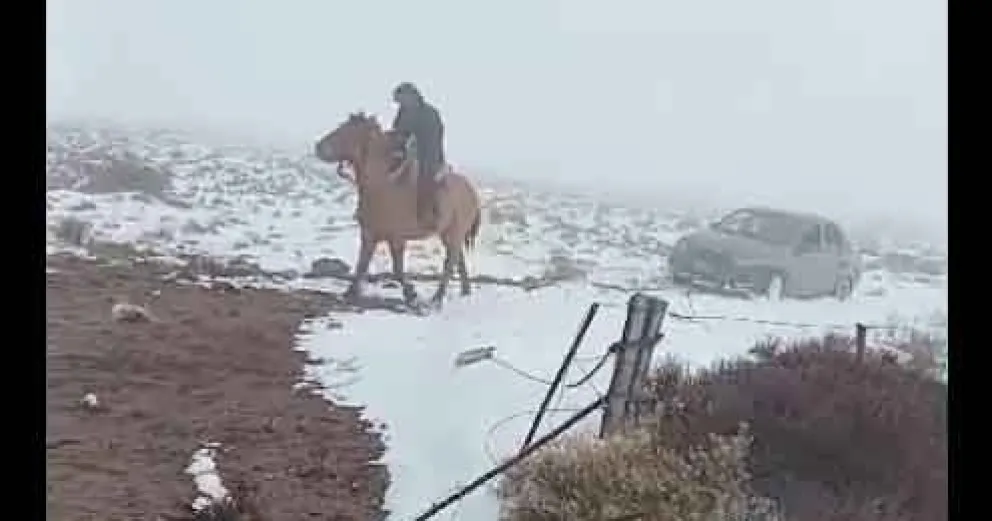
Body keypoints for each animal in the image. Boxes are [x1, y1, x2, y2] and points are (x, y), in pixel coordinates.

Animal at [314, 112, 482, 308]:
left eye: (347, 131)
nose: (318, 147)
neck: (382, 186)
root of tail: (472, 192)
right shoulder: (369, 235)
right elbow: (362, 264)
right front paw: (349, 293)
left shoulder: (396, 238)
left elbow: (397, 269)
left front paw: (411, 295)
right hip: (450, 234)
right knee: (458, 259)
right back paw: (464, 292)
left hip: (452, 234)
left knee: (450, 262)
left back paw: (437, 298)